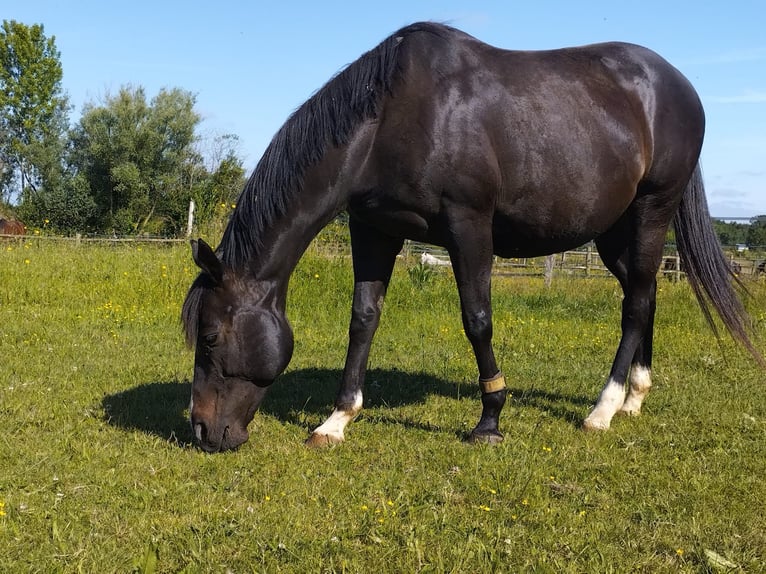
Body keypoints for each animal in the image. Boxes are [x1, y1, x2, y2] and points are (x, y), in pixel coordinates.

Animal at [183, 21, 764, 454]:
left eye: (209, 337)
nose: (204, 431)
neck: (391, 118)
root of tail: (677, 85)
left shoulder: (469, 226)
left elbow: (477, 319)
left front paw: (490, 420)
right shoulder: (374, 229)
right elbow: (363, 319)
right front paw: (336, 420)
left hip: (651, 210)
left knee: (637, 301)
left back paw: (603, 409)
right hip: (612, 233)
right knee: (643, 294)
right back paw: (634, 398)